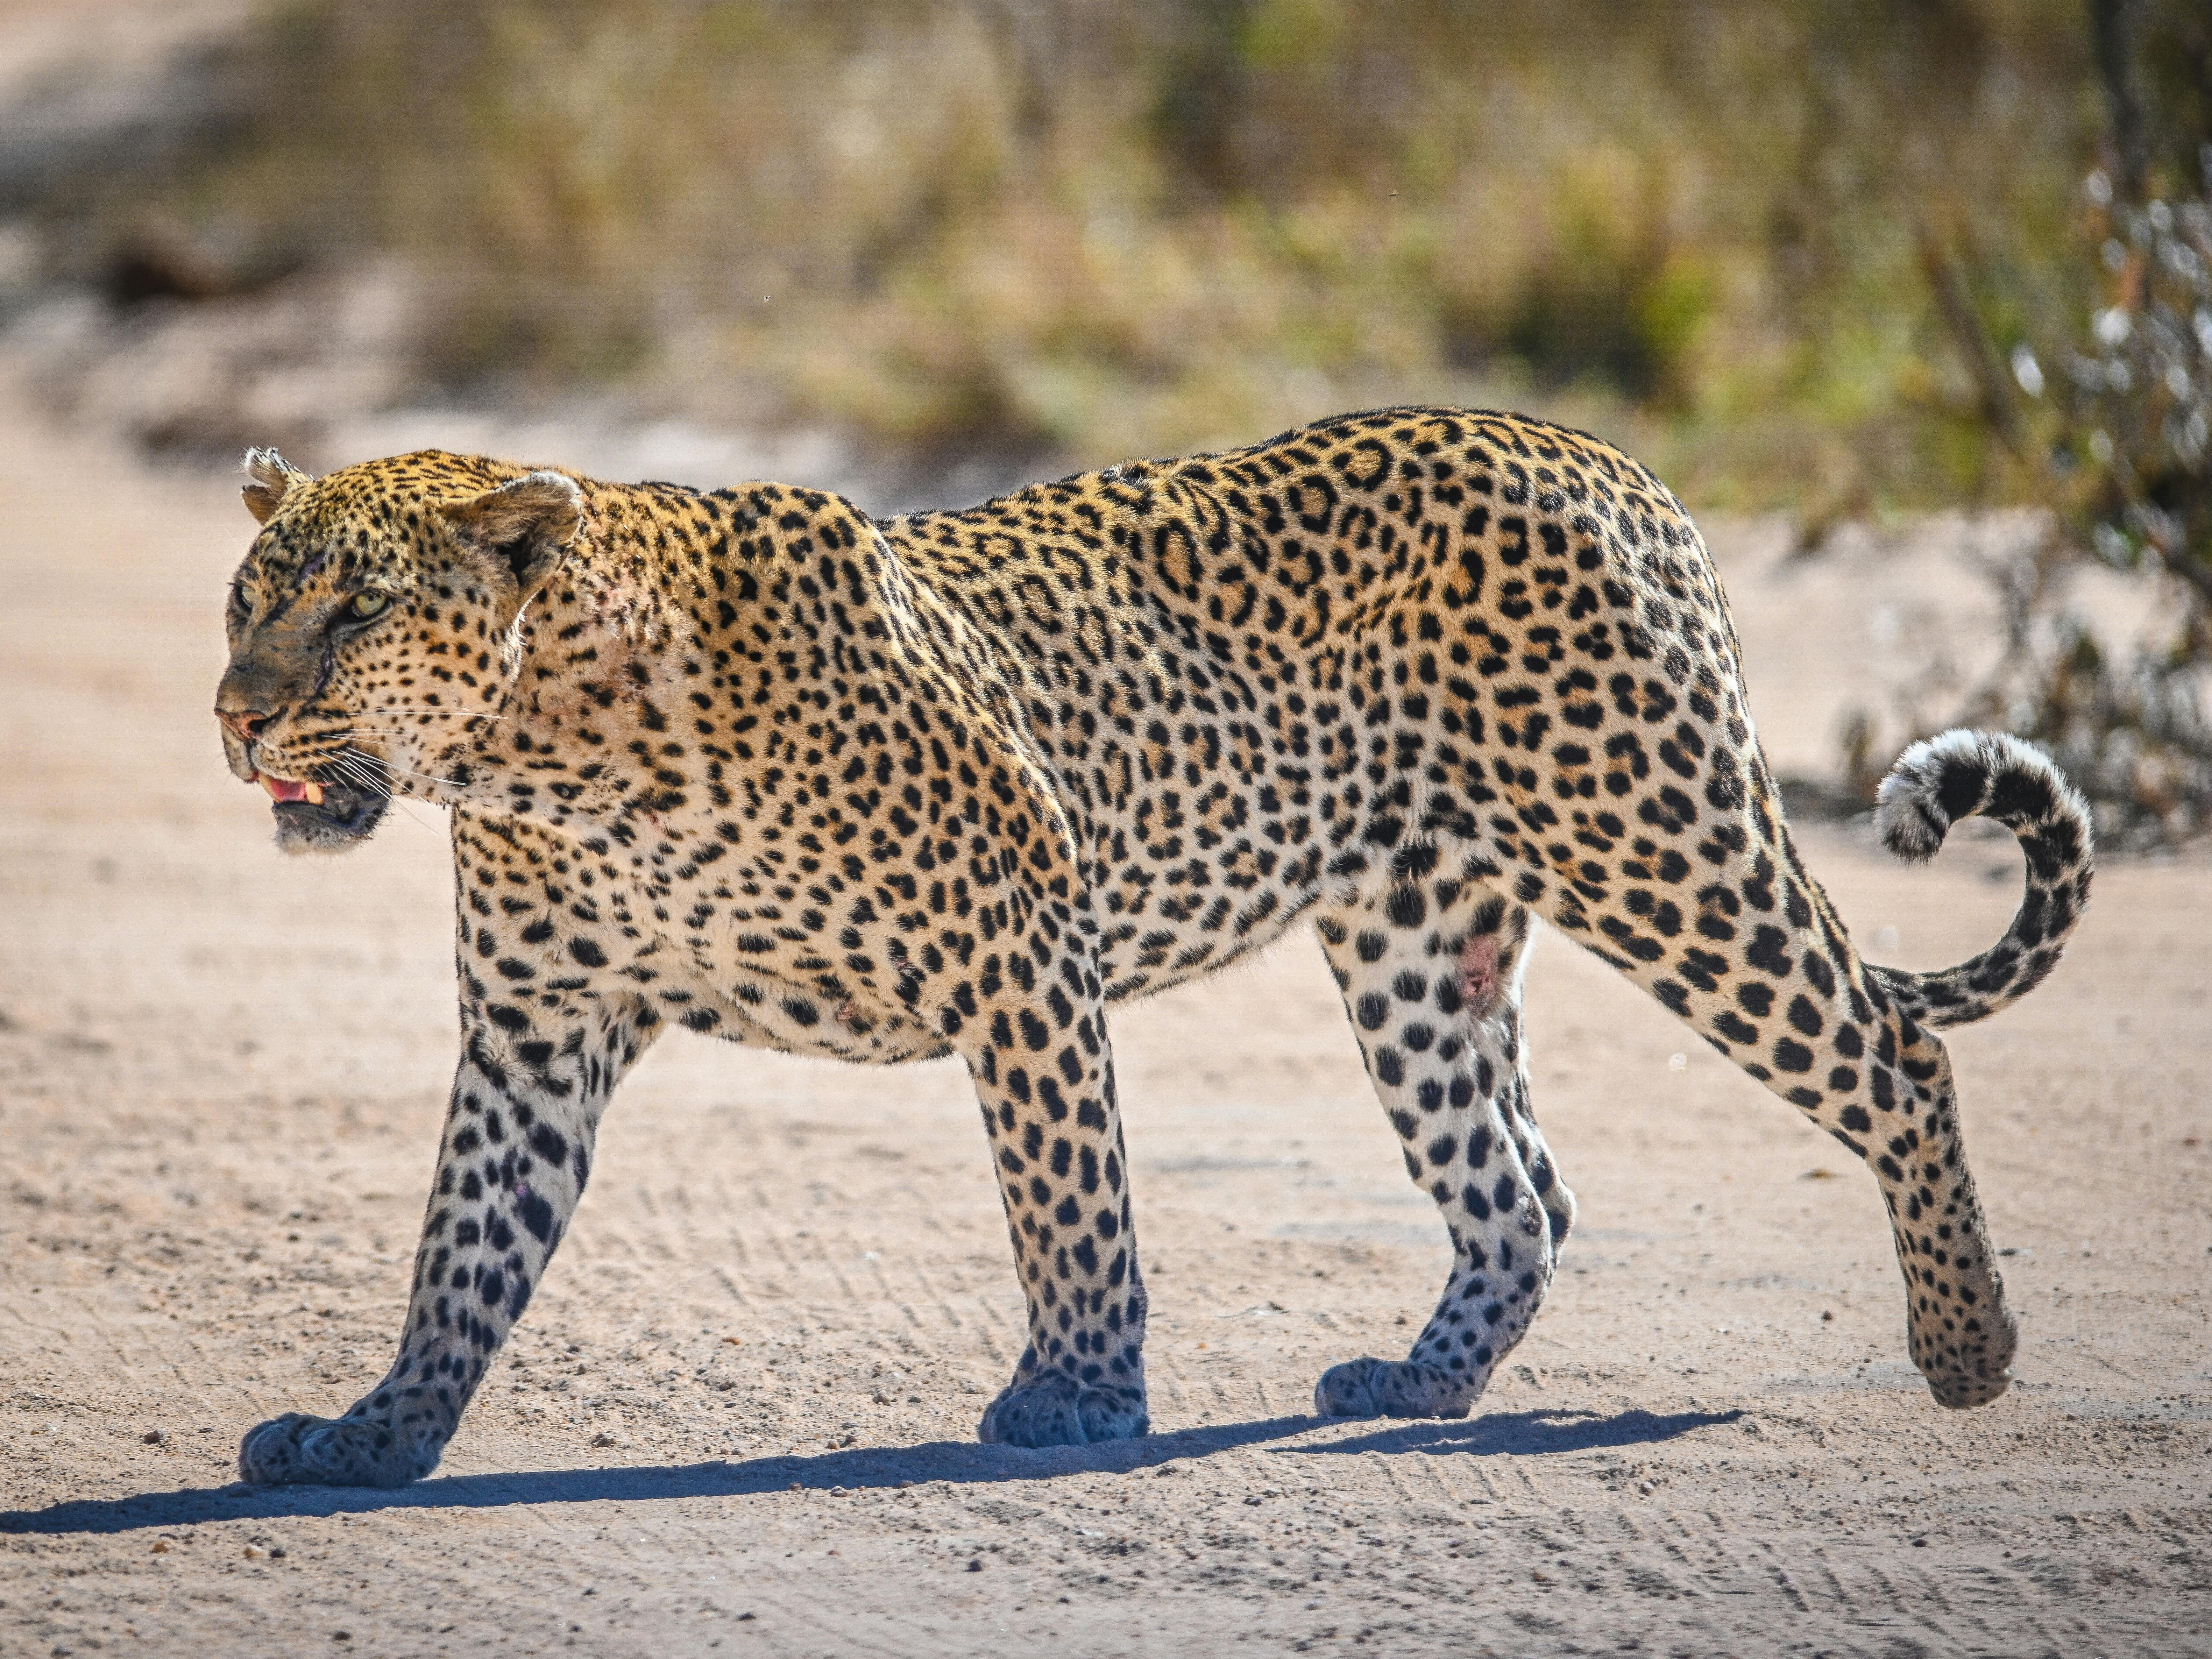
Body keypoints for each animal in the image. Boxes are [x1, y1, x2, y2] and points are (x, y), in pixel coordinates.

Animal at [213, 406, 2093, 1488]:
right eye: (247, 598)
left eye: (357, 607)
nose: (236, 715)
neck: (550, 748)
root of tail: (1606, 459)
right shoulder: (537, 1021)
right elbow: (463, 1242)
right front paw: (379, 1428)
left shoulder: (1017, 941)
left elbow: (1069, 1195)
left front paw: (1076, 1393)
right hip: (1410, 941)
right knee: (1520, 1181)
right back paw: (1418, 1377)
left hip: (1648, 832)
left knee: (1892, 1053)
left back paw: (1967, 1347)